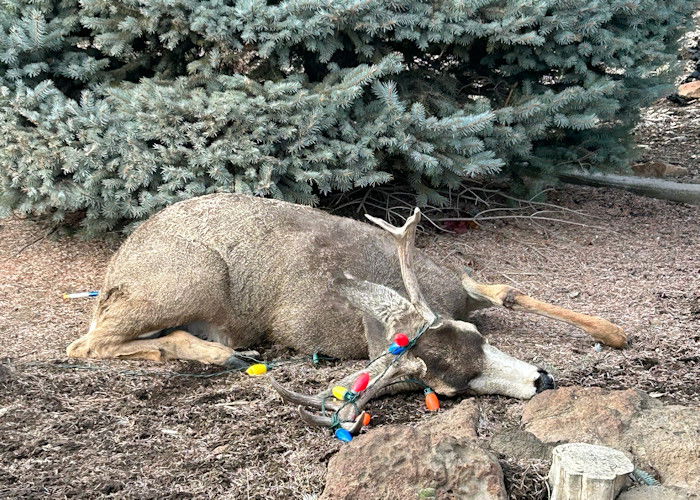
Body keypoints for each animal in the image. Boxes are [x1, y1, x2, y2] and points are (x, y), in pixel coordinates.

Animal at [68, 194, 628, 434]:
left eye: (478, 337)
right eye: (448, 392)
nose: (543, 380)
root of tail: (118, 264)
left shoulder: (456, 285)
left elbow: (506, 288)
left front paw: (615, 332)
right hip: (189, 276)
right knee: (85, 343)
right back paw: (221, 356)